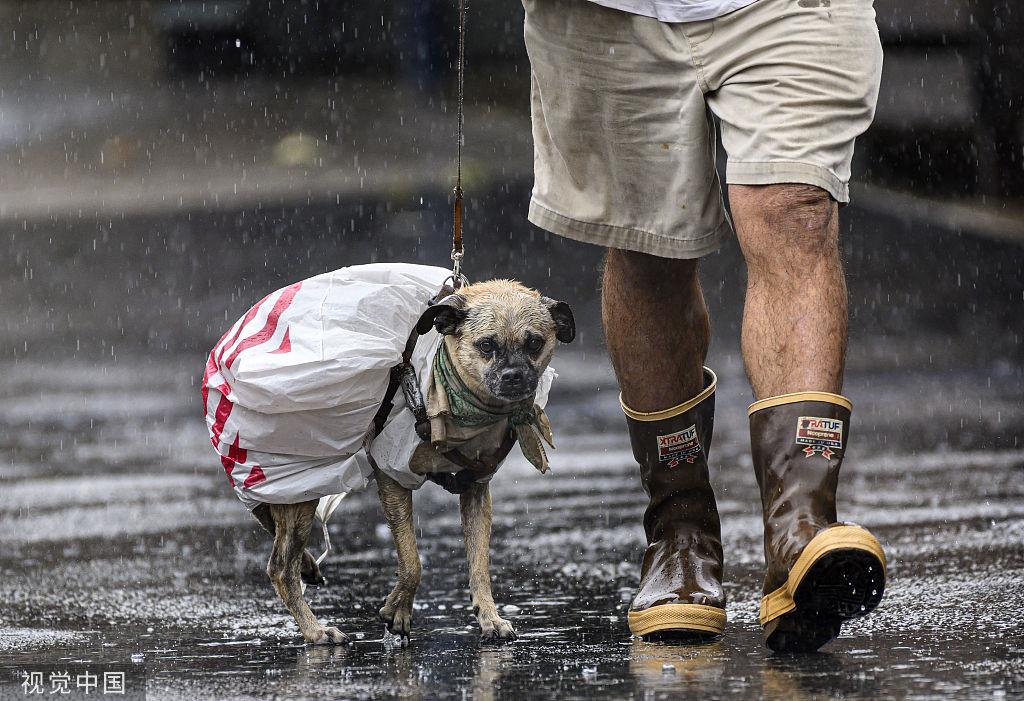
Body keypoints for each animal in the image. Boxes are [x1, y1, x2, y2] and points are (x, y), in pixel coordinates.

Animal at [243, 278, 573, 646]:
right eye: (487, 345)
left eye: (535, 343)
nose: (514, 376)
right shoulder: (393, 477)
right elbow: (412, 561)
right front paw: (398, 610)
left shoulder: (476, 489)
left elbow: (479, 565)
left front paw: (489, 617)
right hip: (300, 489)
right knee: (279, 567)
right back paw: (315, 630)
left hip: (294, 489)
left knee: (269, 521)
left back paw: (308, 567)